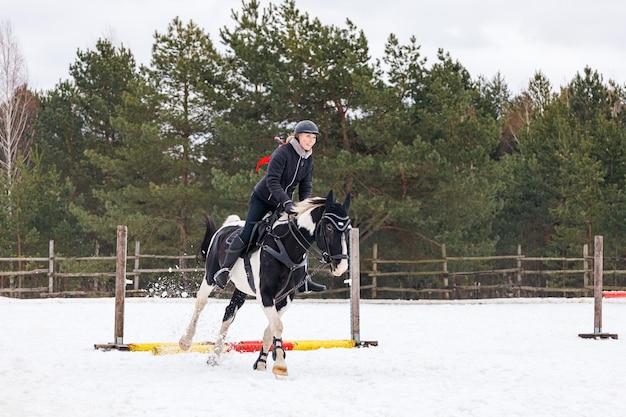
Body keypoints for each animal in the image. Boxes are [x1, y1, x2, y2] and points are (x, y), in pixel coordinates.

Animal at [178, 190, 352, 376]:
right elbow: (277, 326)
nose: (341, 266)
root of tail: (227, 226)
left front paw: (261, 363)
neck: (288, 248)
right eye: (329, 227)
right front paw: (280, 365)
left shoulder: (286, 297)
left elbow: (271, 329)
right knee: (200, 303)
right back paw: (185, 341)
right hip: (210, 277)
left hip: (242, 289)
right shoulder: (265, 294)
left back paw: (214, 356)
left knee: (229, 314)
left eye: (348, 229)